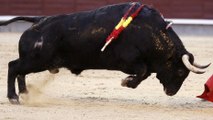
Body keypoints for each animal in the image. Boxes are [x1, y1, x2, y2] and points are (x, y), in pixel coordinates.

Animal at [0, 2, 210, 104]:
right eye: (181, 71)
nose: (171, 92)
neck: (150, 31)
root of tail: (38, 20)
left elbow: (144, 73)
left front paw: (128, 82)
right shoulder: (128, 60)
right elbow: (142, 71)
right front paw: (127, 82)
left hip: (36, 60)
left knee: (20, 71)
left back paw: (25, 93)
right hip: (37, 59)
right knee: (13, 67)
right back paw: (13, 97)